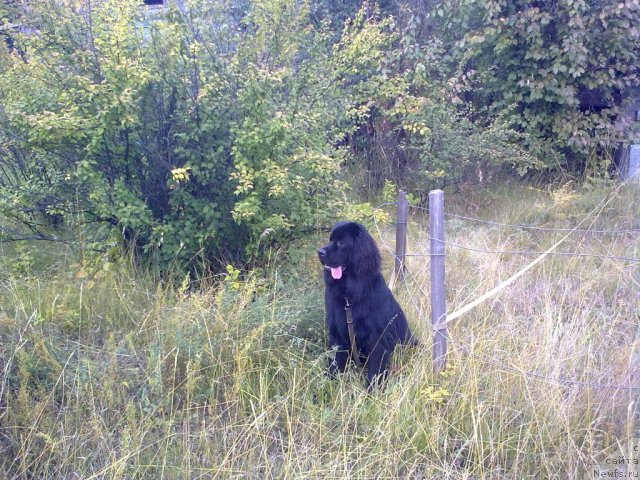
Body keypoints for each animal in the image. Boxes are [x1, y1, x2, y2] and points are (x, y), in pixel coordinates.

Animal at [318, 223, 418, 388]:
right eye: (330, 239)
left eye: (341, 242)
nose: (319, 252)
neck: (349, 297)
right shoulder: (337, 334)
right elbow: (335, 361)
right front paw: (329, 382)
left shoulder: (378, 338)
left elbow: (376, 369)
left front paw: (372, 390)